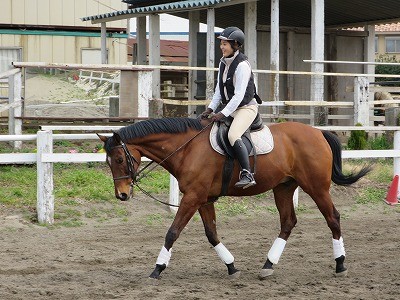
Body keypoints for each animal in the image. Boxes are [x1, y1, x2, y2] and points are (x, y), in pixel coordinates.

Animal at [97, 116, 372, 278]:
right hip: (284, 187)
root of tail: (318, 132)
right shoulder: (203, 198)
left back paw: (340, 264)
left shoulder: (193, 197)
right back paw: (268, 265)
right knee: (288, 222)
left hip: (316, 187)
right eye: (108, 162)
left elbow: (172, 232)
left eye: (120, 159)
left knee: (333, 218)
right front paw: (231, 266)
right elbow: (211, 234)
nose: (122, 195)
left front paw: (158, 268)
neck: (187, 148)